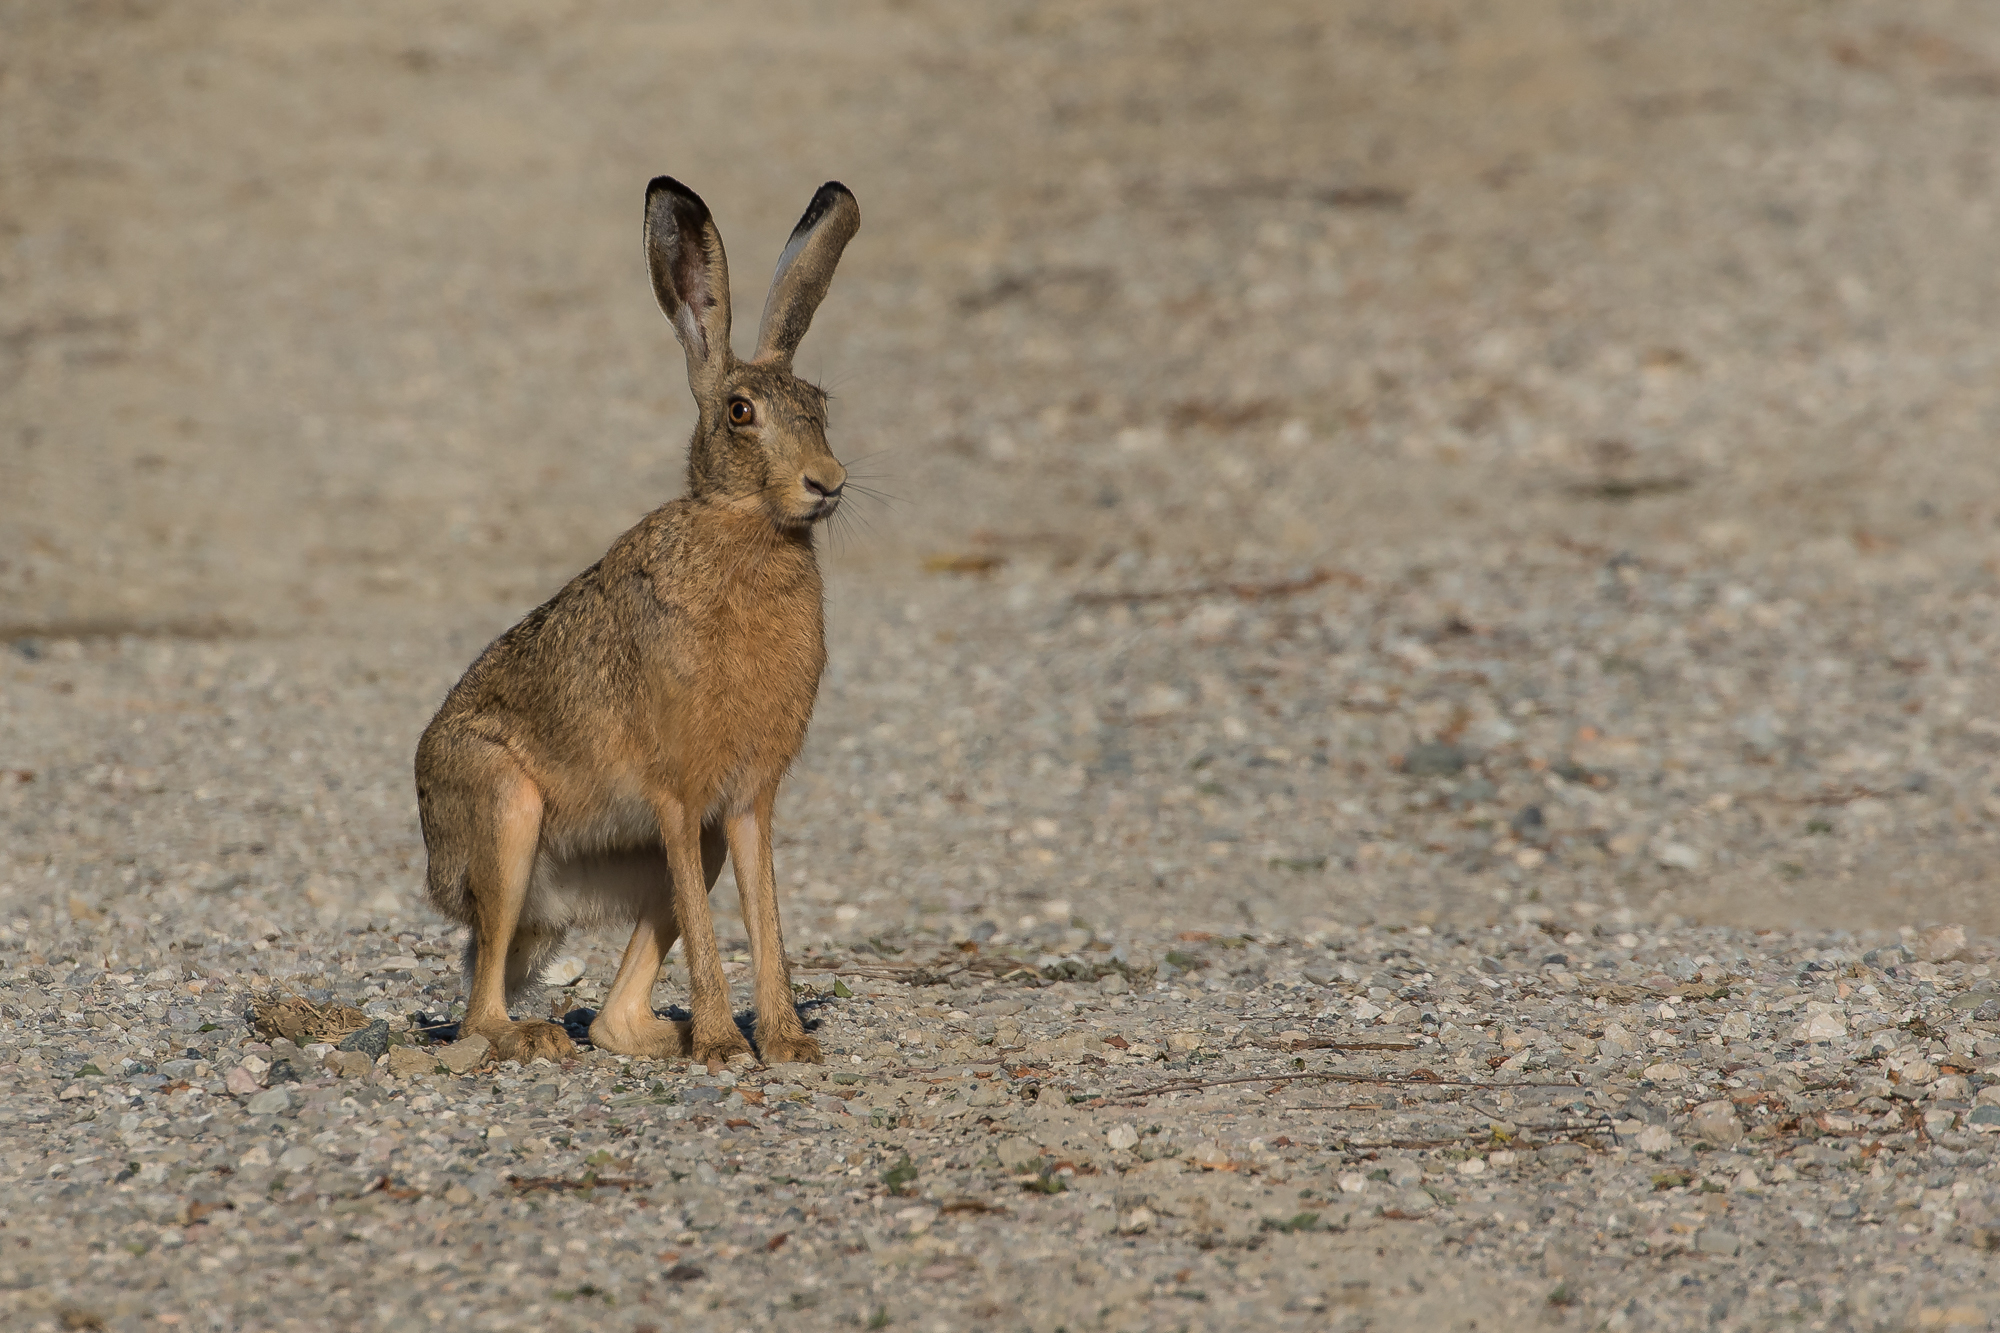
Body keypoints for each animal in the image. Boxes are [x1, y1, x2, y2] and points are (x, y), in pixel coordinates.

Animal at [414, 176, 860, 1070]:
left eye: (820, 406)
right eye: (740, 412)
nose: (826, 482)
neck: (743, 528)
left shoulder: (745, 803)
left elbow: (765, 917)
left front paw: (786, 1041)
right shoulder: (677, 792)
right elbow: (708, 919)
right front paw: (725, 1045)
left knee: (611, 1019)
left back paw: (660, 1032)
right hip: (504, 814)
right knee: (479, 1006)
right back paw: (534, 1034)